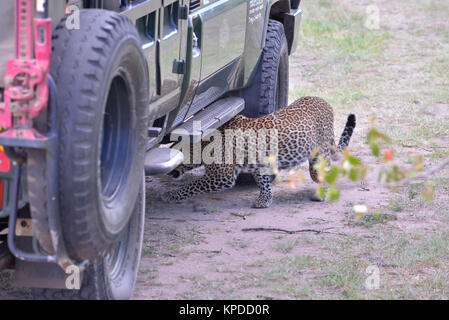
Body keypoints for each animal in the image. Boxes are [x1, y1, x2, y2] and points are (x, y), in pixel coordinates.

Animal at [163, 96, 356, 209]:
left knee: (324, 174)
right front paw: (265, 199)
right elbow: (262, 182)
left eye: (176, 155)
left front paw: (172, 195)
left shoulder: (222, 176)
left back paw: (322, 193)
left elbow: (192, 185)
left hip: (319, 156)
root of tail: (326, 103)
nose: (168, 171)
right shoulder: (259, 164)